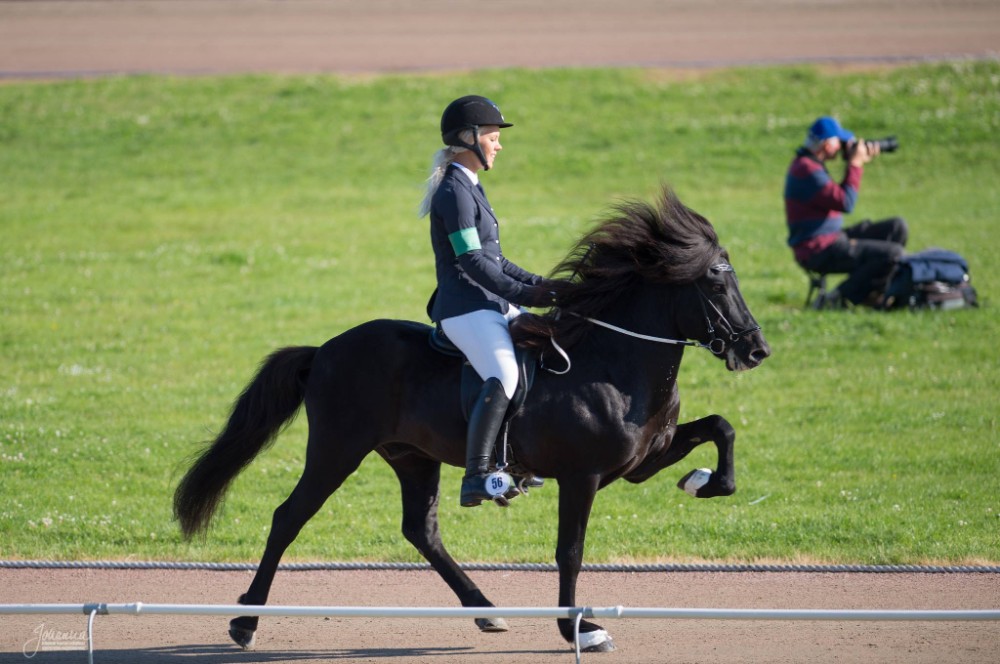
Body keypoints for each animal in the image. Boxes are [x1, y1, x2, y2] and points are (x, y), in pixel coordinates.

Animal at [176, 188, 772, 652]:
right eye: (716, 284)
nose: (757, 350)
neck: (613, 359)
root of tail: (323, 349)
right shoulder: (582, 477)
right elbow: (570, 552)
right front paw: (578, 631)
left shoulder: (642, 461)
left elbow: (721, 426)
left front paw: (705, 482)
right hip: (336, 450)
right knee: (288, 518)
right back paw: (245, 622)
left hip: (411, 456)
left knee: (421, 530)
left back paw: (485, 610)